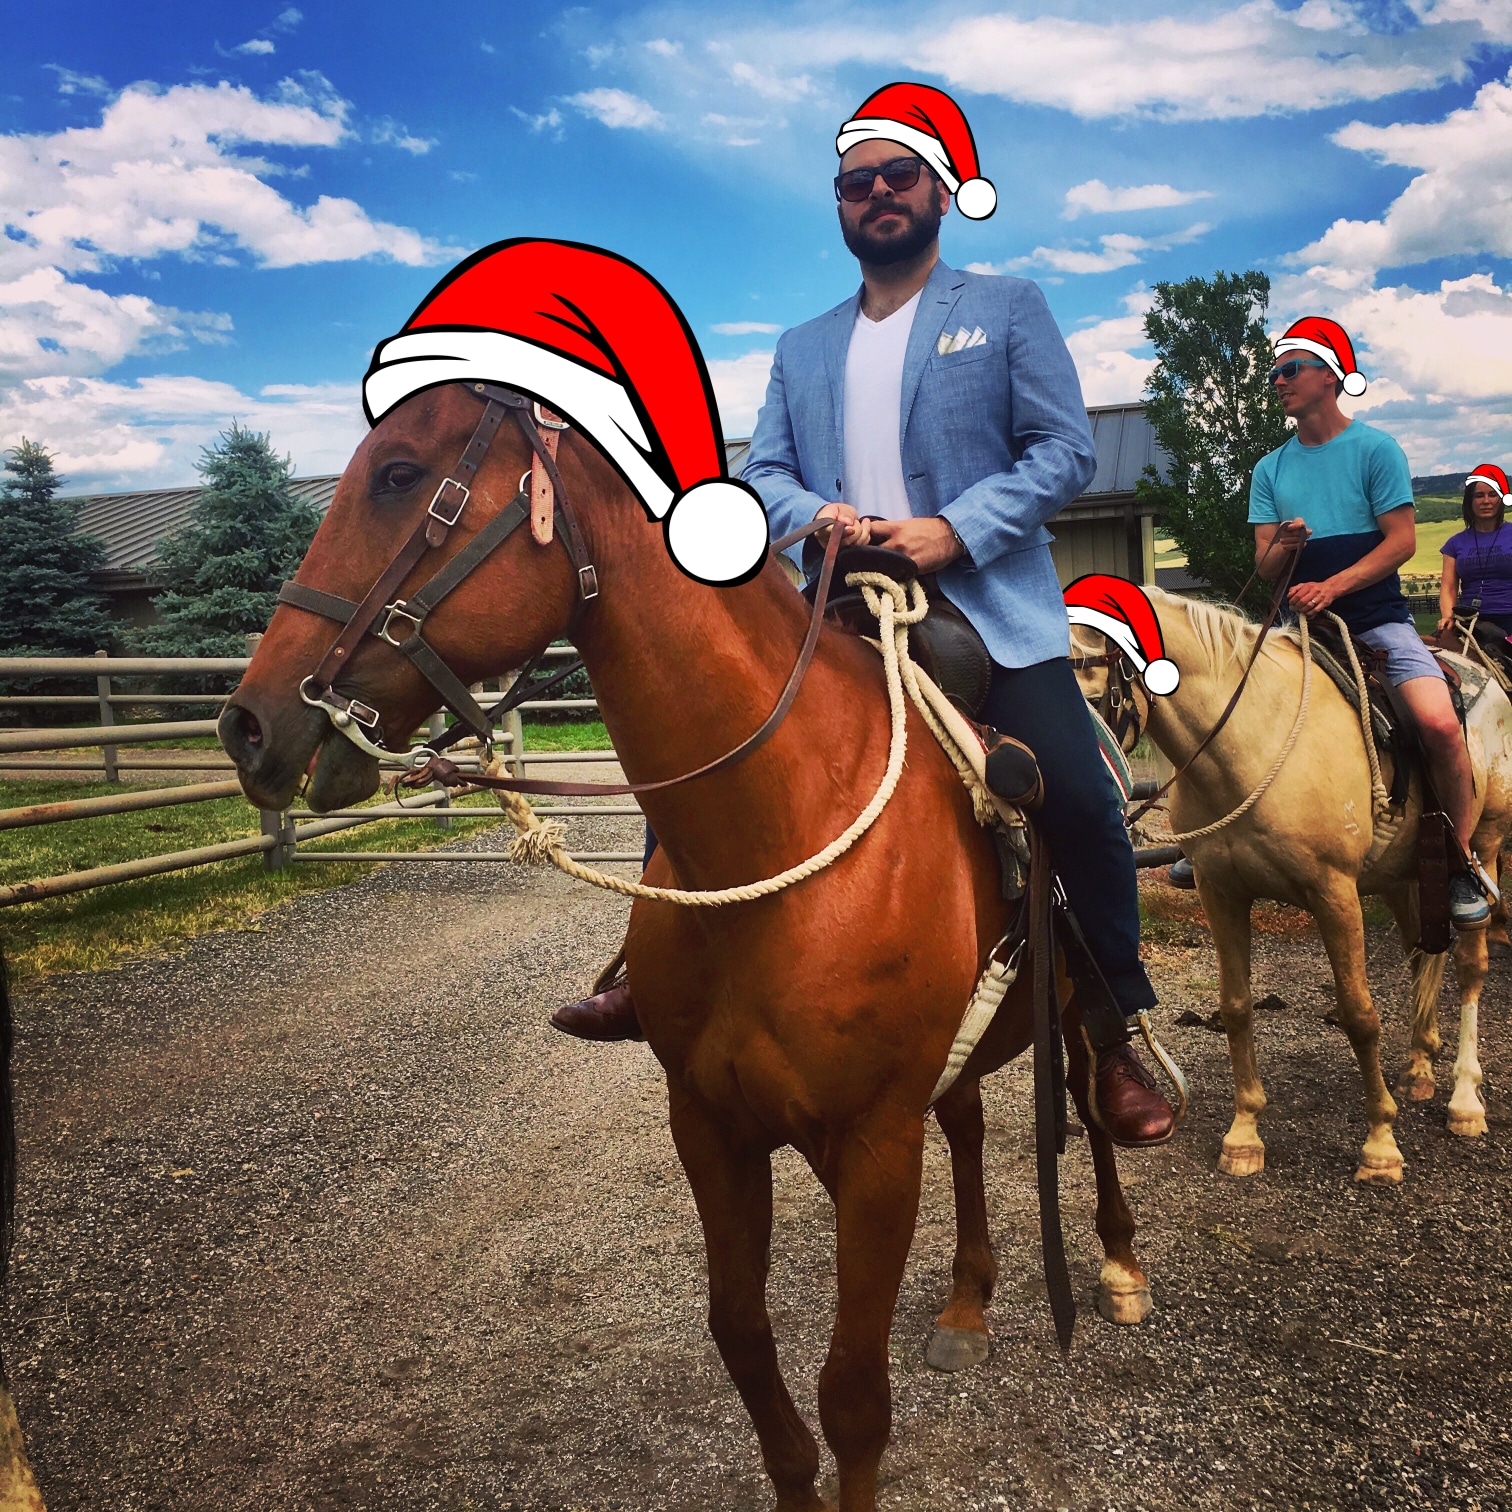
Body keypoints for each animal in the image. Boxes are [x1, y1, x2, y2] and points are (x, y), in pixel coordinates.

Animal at [219, 384, 1149, 1505]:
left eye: (398, 474)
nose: (247, 726)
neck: (785, 832)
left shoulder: (874, 1146)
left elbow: (853, 1392)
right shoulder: (710, 1126)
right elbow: (742, 1337)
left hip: (1074, 1008)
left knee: (1095, 1103)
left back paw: (1119, 1256)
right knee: (967, 1126)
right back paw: (968, 1302)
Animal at [1076, 589, 1512, 1179]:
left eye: (1087, 690)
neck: (1255, 743)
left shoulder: (1335, 895)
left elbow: (1360, 1014)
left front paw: (1380, 1144)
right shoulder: (1221, 893)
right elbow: (1236, 1005)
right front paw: (1244, 1135)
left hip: (1483, 845)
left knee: (1469, 965)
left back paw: (1465, 1100)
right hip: (1404, 879)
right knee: (1422, 952)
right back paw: (1420, 1067)